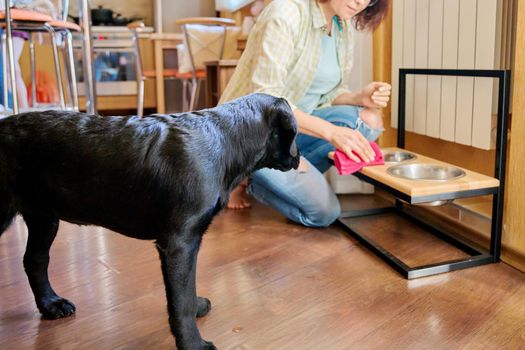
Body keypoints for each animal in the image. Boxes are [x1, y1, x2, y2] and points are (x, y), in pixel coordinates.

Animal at [0, 91, 300, 348]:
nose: (298, 159)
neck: (225, 139)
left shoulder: (188, 245)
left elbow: (186, 291)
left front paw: (197, 305)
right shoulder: (179, 243)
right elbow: (180, 302)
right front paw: (193, 344)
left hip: (44, 217)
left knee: (35, 260)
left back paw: (51, 304)